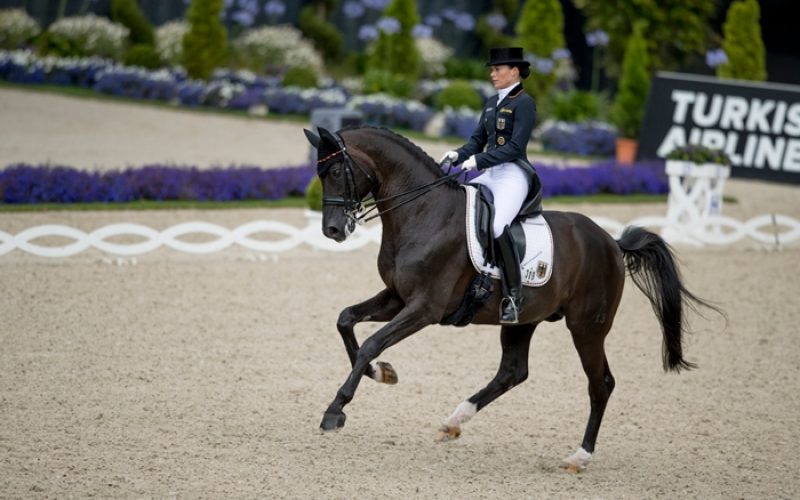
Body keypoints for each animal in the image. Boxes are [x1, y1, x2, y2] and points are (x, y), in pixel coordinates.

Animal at [303, 125, 719, 472]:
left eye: (336, 171)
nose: (332, 230)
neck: (423, 212)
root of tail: (611, 243)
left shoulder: (424, 308)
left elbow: (371, 342)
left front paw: (335, 410)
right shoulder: (396, 297)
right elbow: (346, 321)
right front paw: (382, 373)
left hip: (587, 327)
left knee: (600, 383)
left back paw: (579, 457)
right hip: (523, 319)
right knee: (513, 372)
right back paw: (454, 421)